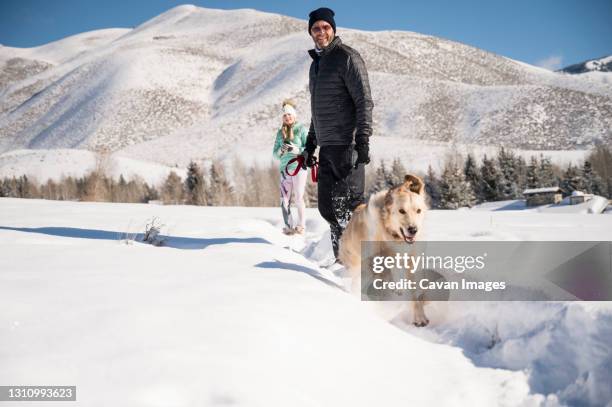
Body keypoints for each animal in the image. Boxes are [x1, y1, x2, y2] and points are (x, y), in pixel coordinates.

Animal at [340, 174, 430, 326]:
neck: (393, 235)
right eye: (402, 211)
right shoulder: (373, 260)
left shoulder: (411, 260)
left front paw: (419, 316)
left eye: (418, 211)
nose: (413, 230)